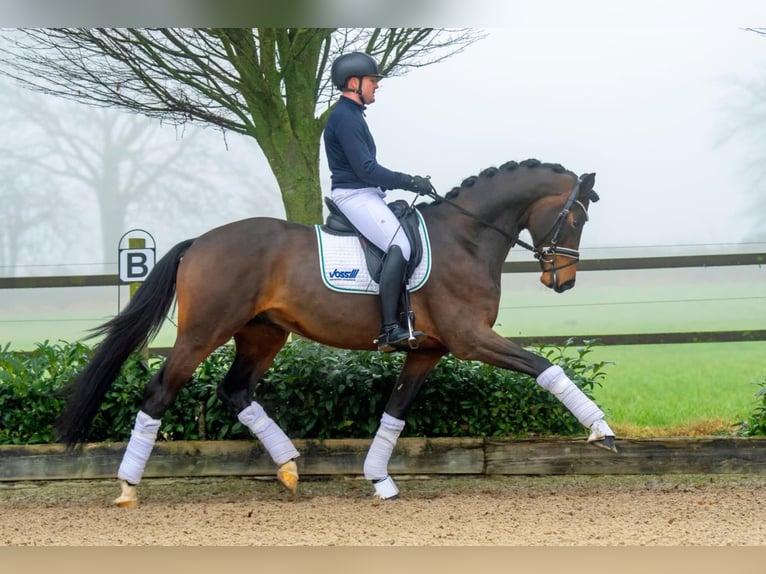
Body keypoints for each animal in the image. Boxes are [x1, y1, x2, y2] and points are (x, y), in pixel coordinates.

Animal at [54, 159, 616, 508]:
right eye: (577, 218)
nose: (562, 281)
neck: (466, 237)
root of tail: (200, 242)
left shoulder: (428, 350)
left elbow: (396, 411)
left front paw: (380, 479)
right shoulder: (469, 338)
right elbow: (545, 367)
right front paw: (600, 430)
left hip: (263, 334)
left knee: (236, 390)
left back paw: (288, 469)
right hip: (203, 332)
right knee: (160, 392)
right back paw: (128, 487)